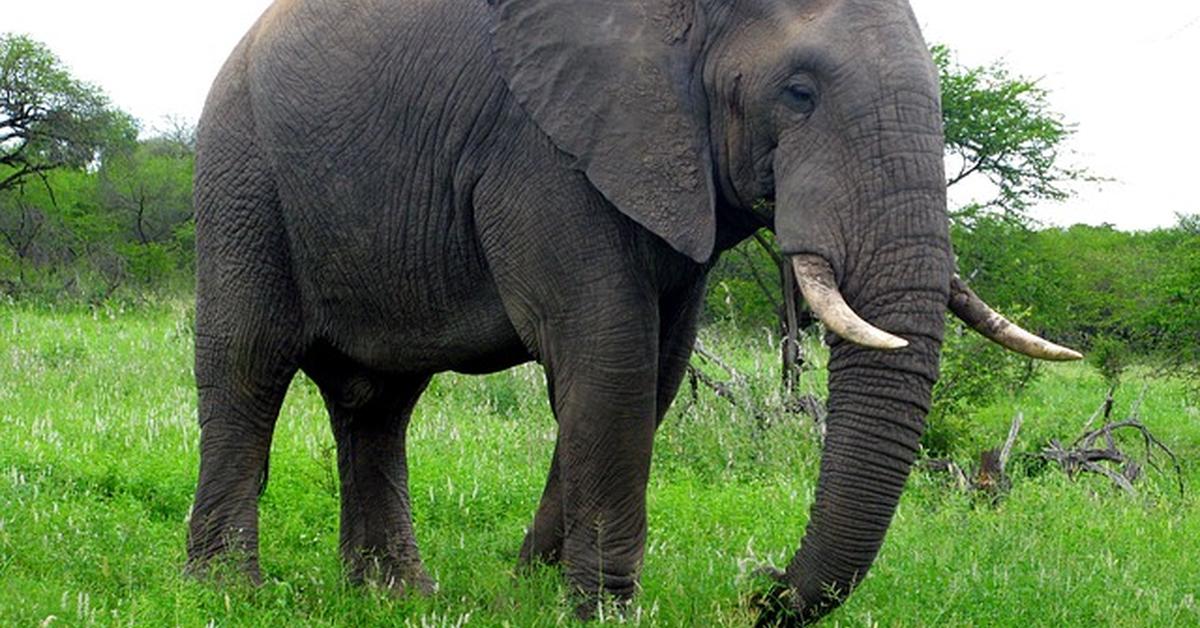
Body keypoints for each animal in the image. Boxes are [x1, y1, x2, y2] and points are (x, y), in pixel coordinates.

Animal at [187, 0, 1080, 619]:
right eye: (797, 93)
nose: (760, 589)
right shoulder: (541, 146)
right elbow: (608, 353)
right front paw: (600, 611)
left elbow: (654, 373)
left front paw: (533, 589)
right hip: (241, 169)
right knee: (247, 367)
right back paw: (229, 596)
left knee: (377, 403)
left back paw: (399, 598)